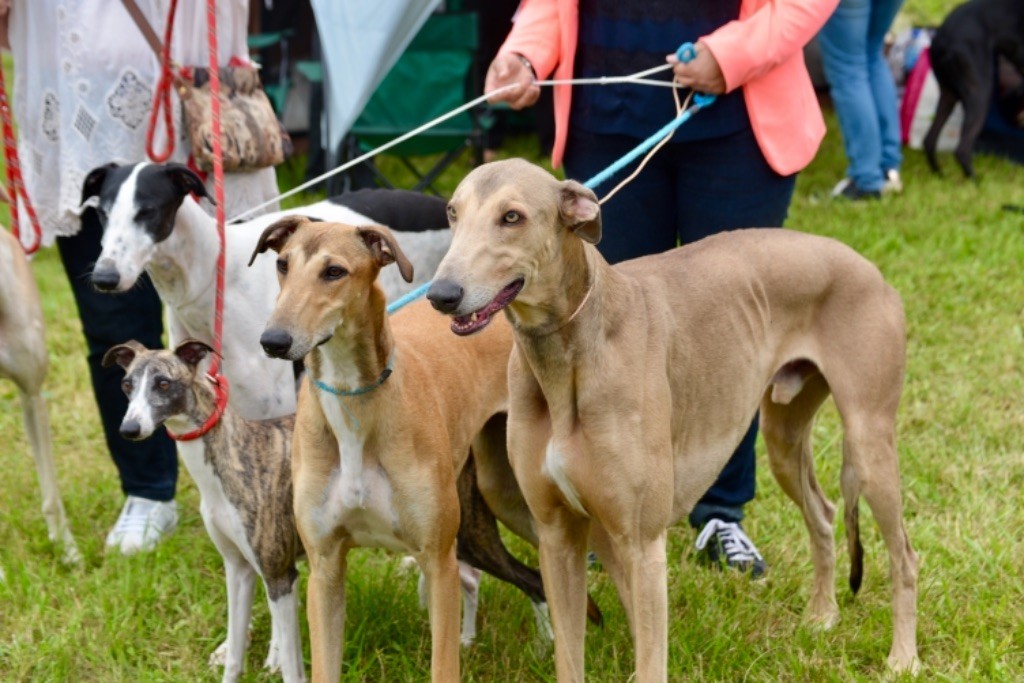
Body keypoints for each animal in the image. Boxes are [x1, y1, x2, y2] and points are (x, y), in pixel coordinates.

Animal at [423, 158, 921, 679]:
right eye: (452, 212)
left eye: (512, 217)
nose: (441, 294)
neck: (569, 355)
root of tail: (864, 264)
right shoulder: (558, 537)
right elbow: (569, 656)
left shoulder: (642, 544)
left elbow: (651, 659)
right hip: (783, 437)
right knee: (822, 514)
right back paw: (822, 615)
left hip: (868, 441)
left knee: (905, 555)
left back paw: (903, 657)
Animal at [921, 0, 1024, 179]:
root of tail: (942, 38)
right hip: (980, 93)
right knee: (962, 149)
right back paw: (977, 182)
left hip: (949, 94)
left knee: (929, 140)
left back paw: (940, 175)